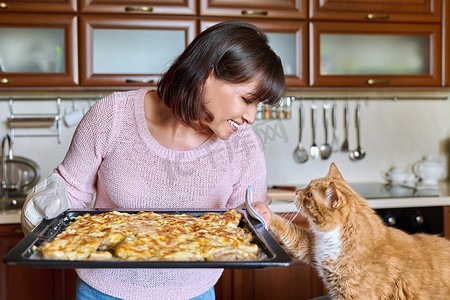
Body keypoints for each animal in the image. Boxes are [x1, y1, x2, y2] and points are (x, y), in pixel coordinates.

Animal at [268, 164, 450, 300]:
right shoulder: (311, 247)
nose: (296, 192)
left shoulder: (354, 295)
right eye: (307, 186)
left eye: (310, 194)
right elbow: (288, 228)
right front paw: (264, 212)